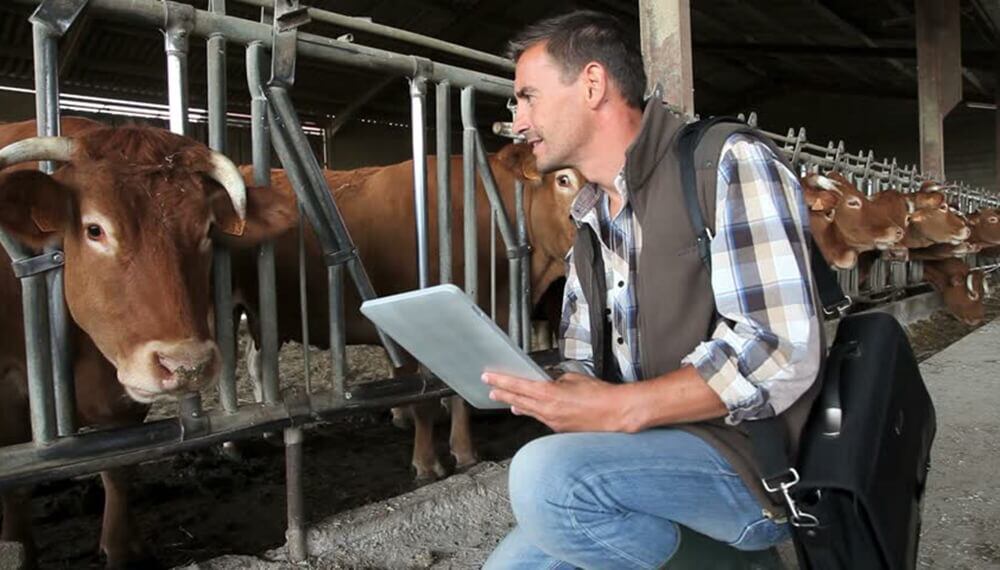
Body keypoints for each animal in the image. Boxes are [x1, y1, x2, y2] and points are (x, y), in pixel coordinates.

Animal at [0, 115, 296, 564]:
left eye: (207, 230)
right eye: (94, 229)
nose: (188, 365)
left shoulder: (125, 400)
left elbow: (121, 467)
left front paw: (122, 547)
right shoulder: (11, 391)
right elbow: (16, 491)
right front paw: (18, 549)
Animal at [230, 144, 584, 482]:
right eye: (563, 179)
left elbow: (457, 394)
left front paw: (464, 453)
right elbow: (423, 399)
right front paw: (426, 464)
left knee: (255, 364)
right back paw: (234, 442)